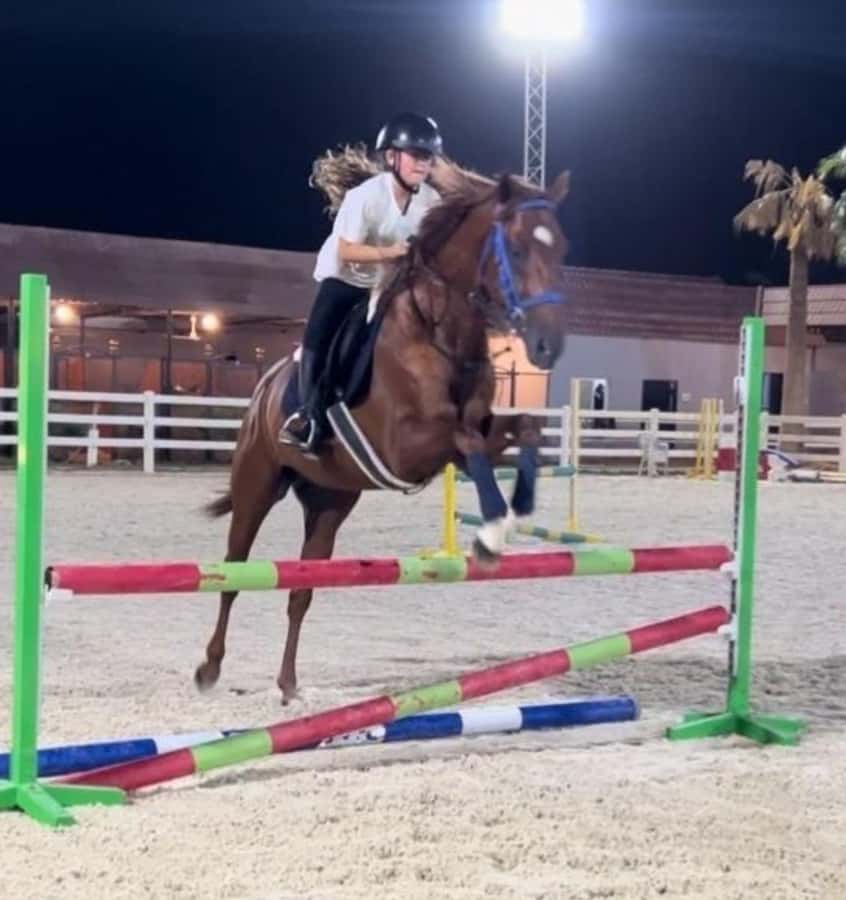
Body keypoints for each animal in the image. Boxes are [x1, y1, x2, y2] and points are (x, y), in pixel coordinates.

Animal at [195, 167, 571, 703]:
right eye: (516, 250)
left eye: (561, 249)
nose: (547, 345)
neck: (440, 332)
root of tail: (264, 387)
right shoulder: (407, 448)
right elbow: (468, 443)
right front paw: (492, 532)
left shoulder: (472, 428)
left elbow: (522, 428)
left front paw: (515, 510)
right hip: (256, 486)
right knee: (233, 569)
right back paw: (209, 668)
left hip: (330, 502)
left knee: (301, 590)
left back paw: (289, 685)